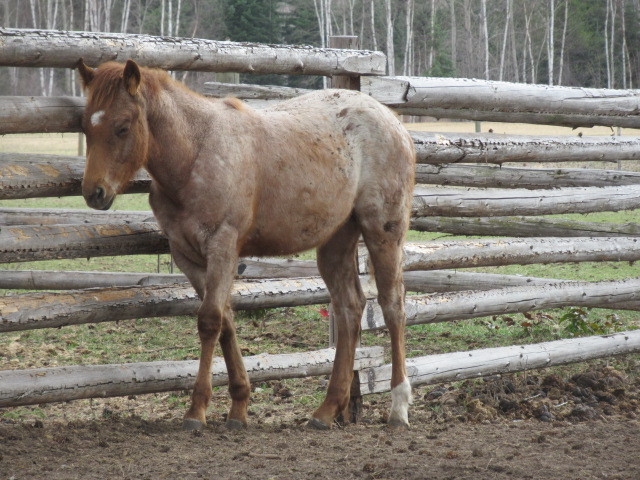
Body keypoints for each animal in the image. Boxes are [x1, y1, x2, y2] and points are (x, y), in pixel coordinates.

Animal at [77, 59, 418, 432]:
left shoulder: (223, 247)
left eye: (123, 127)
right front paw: (238, 407)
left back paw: (399, 407)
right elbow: (225, 320)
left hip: (384, 231)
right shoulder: (188, 257)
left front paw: (196, 410)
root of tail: (394, 123)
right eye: (86, 126)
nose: (94, 193)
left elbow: (210, 320)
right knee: (350, 308)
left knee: (392, 305)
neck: (196, 152)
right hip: (336, 241)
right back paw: (327, 409)